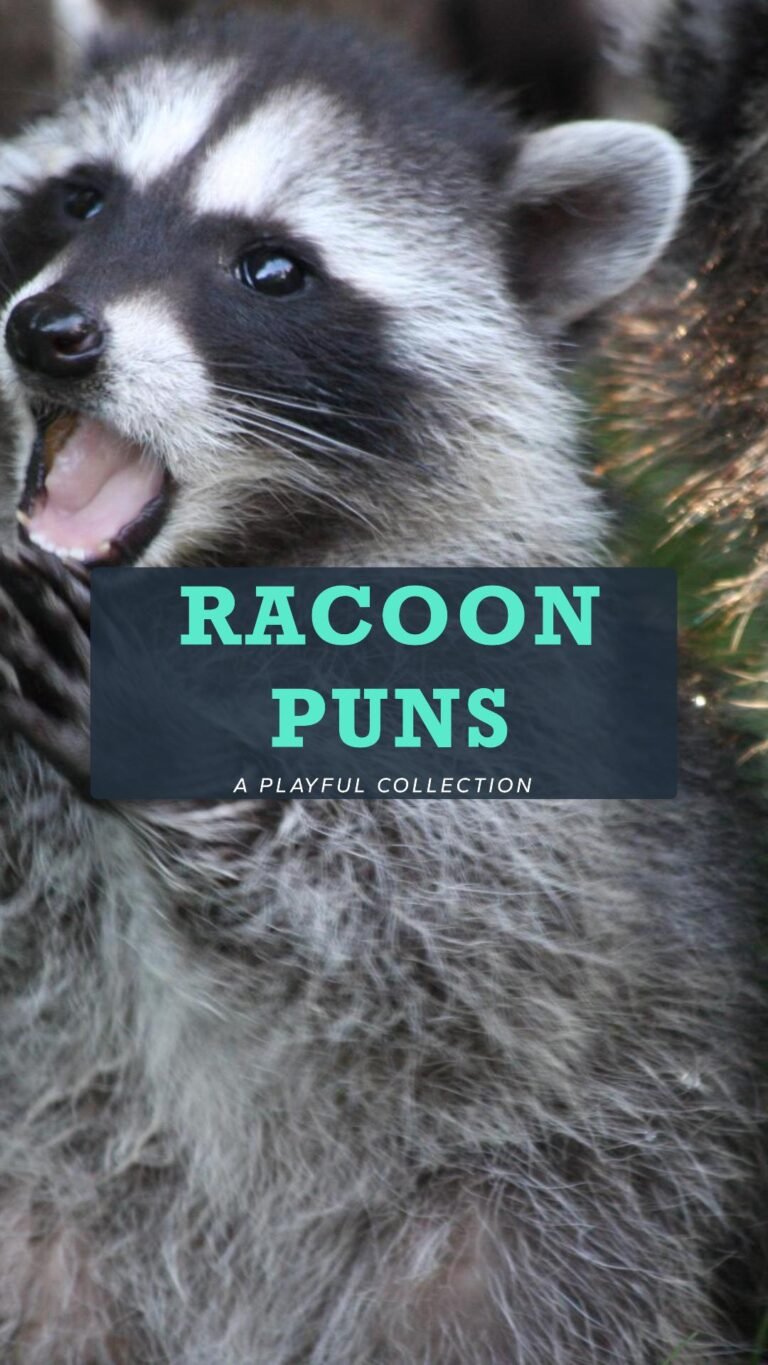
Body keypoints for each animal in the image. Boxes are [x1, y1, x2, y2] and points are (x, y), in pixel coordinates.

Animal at [0, 12, 764, 1364]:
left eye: (272, 270)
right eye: (81, 197)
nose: (50, 332)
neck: (210, 567)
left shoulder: (532, 731)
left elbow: (468, 943)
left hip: (557, 1212)